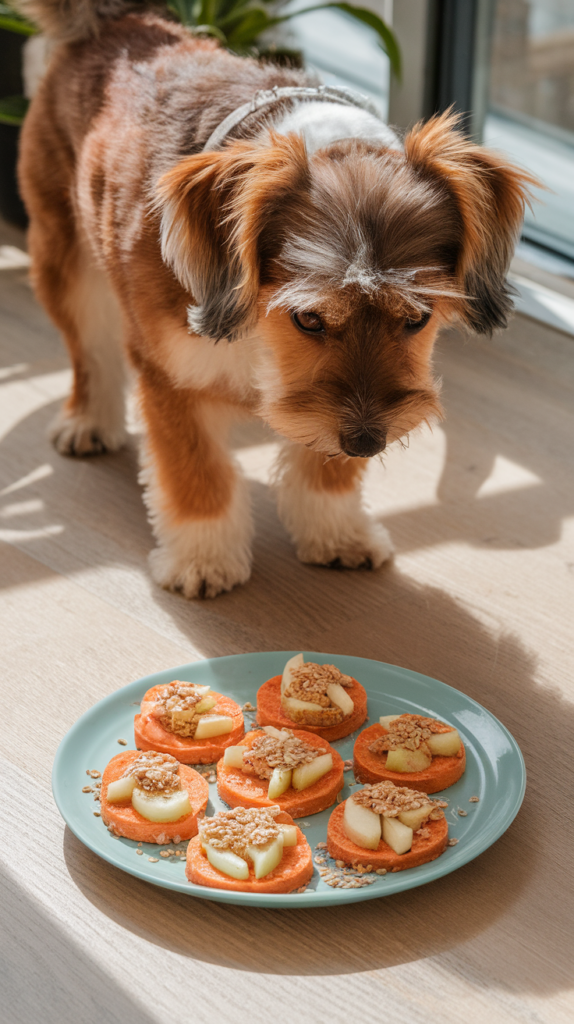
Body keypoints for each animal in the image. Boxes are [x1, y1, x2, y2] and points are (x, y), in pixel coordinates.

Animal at [19, 0, 532, 598]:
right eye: (308, 318)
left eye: (418, 318)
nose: (367, 443)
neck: (261, 329)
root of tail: (127, 21)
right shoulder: (173, 376)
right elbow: (196, 475)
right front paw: (204, 559)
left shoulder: (326, 407)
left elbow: (326, 469)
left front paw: (336, 533)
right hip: (63, 255)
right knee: (90, 350)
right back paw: (89, 422)